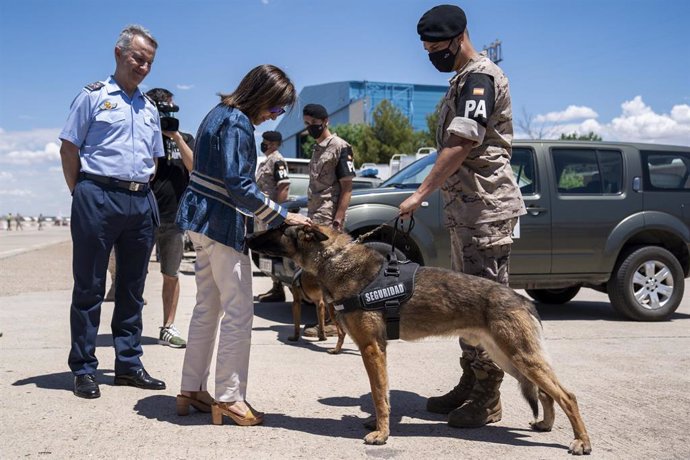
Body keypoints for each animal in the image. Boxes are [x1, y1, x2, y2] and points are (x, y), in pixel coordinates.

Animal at [245, 225, 588, 454]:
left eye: (278, 227)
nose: (247, 237)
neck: (337, 260)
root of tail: (522, 299)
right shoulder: (377, 350)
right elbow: (382, 394)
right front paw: (377, 425)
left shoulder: (372, 349)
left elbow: (379, 395)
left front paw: (382, 434)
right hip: (508, 358)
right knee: (546, 393)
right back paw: (545, 424)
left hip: (519, 357)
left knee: (567, 396)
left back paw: (582, 441)